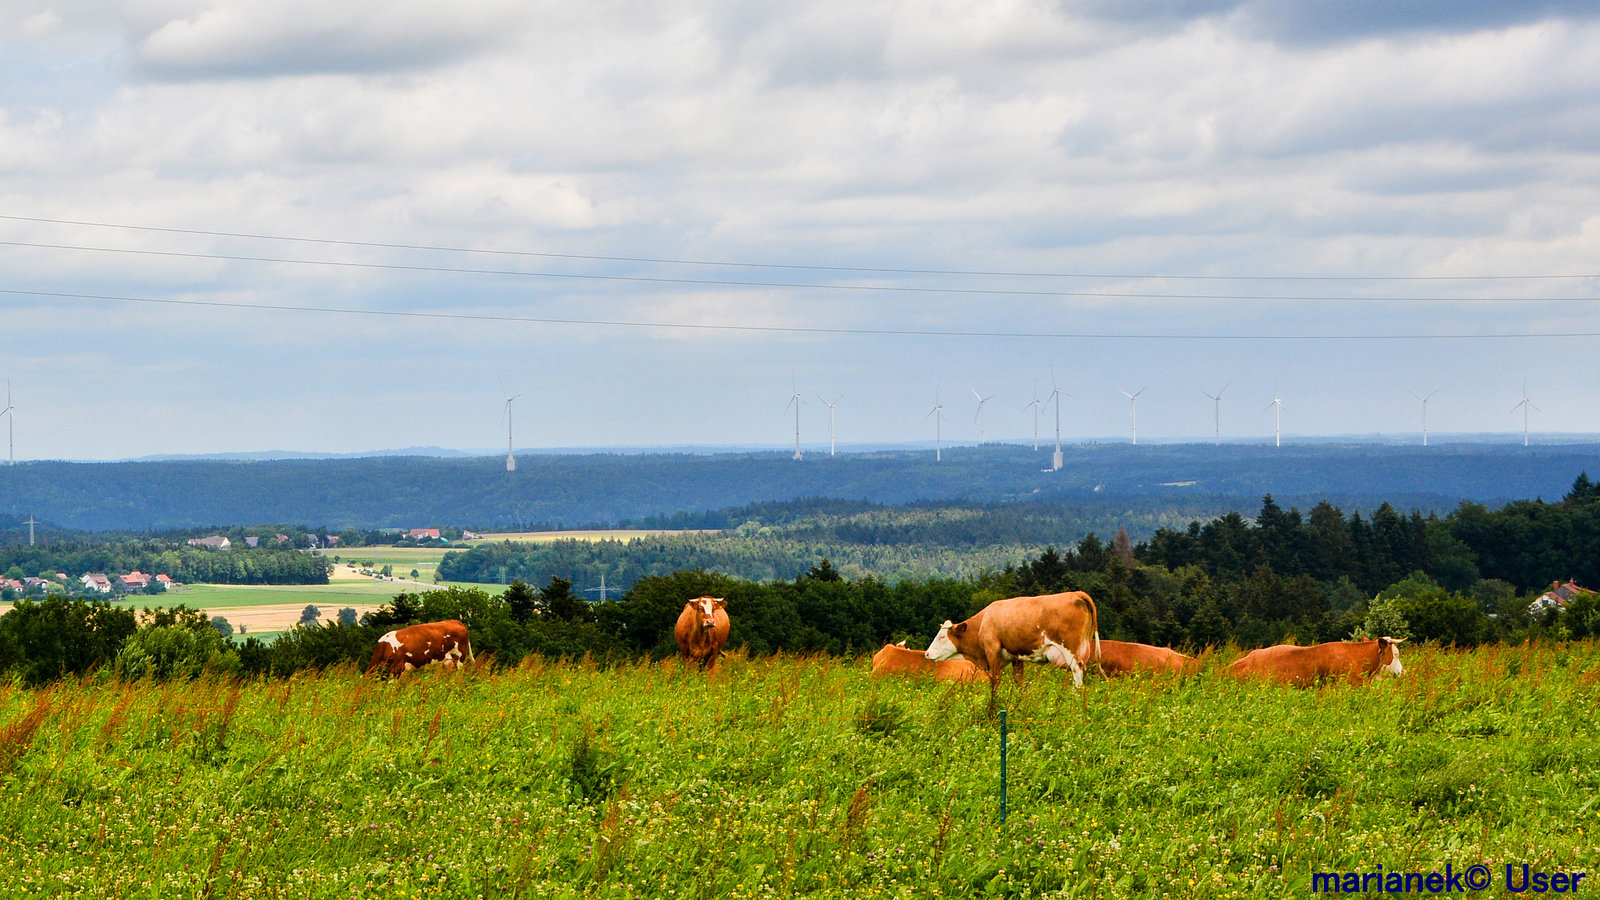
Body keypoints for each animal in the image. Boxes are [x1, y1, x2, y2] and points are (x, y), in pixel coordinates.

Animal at [928, 589, 1100, 707]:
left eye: (942, 637)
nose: (927, 654)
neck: (983, 622)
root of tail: (1076, 593)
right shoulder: (1016, 657)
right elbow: (1019, 682)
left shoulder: (992, 651)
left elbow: (995, 681)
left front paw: (993, 703)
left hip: (1070, 648)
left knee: (1077, 670)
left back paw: (1075, 698)